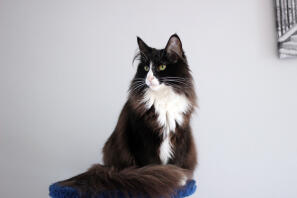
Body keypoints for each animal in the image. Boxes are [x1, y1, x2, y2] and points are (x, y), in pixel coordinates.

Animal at [57, 34, 197, 198]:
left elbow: (175, 162)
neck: (162, 99)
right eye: (145, 68)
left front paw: (178, 180)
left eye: (161, 67)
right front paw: (161, 179)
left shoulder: (179, 137)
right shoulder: (142, 139)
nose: (149, 79)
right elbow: (151, 165)